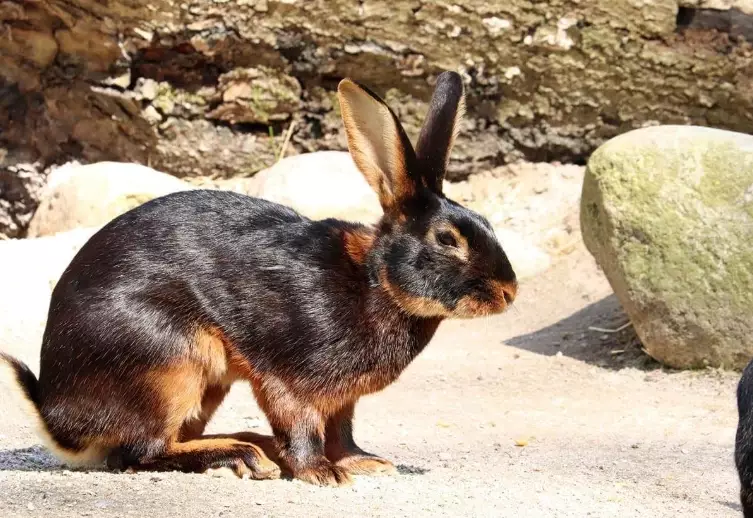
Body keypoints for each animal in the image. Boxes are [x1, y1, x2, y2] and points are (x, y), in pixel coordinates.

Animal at [0, 71, 517, 487]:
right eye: (448, 239)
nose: (509, 292)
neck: (376, 282)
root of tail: (59, 418)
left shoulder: (342, 400)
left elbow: (342, 432)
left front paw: (365, 463)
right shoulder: (290, 381)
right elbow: (303, 427)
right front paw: (322, 474)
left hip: (207, 382)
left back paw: (254, 448)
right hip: (171, 363)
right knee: (141, 453)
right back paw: (243, 455)